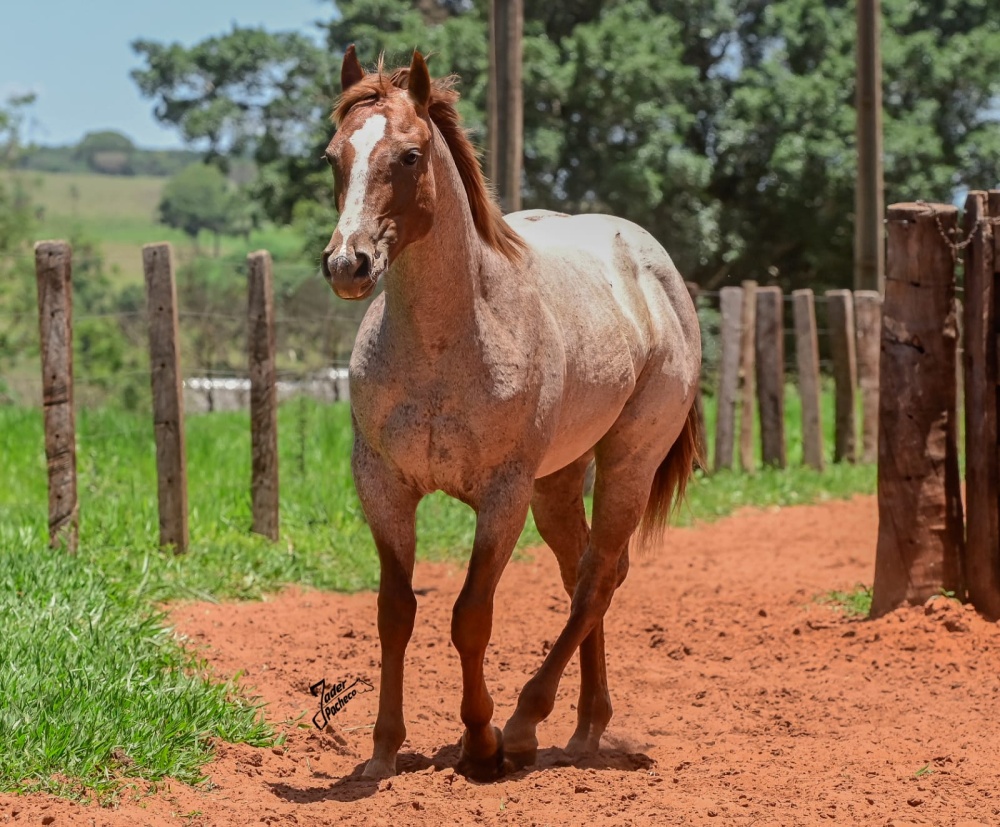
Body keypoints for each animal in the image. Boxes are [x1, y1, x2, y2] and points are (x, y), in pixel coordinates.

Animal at [320, 46, 702, 781]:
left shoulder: (503, 495)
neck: (448, 347)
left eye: (409, 155)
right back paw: (586, 725)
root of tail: (657, 266)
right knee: (586, 574)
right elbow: (394, 612)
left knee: (596, 580)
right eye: (333, 156)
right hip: (558, 482)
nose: (348, 263)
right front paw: (382, 750)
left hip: (626, 463)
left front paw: (481, 740)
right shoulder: (382, 485)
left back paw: (526, 724)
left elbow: (471, 615)